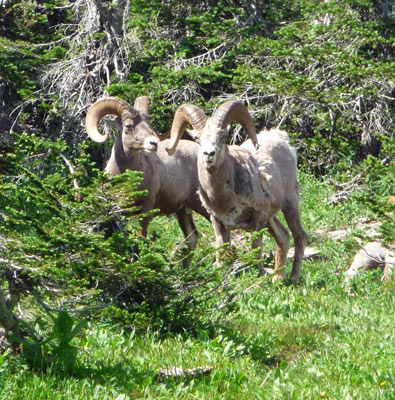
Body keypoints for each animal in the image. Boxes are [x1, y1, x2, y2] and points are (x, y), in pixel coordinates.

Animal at [85, 97, 212, 252]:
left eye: (148, 124)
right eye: (128, 125)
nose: (153, 143)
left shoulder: (146, 209)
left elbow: (141, 237)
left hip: (202, 205)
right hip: (183, 211)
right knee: (192, 237)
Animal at [166, 100, 308, 282]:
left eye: (223, 136)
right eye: (197, 138)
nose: (209, 154)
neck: (224, 199)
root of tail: (283, 140)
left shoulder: (258, 217)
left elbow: (256, 250)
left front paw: (259, 279)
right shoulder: (219, 222)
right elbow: (221, 253)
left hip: (290, 203)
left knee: (299, 236)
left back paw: (293, 278)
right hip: (271, 218)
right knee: (283, 237)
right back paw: (278, 278)